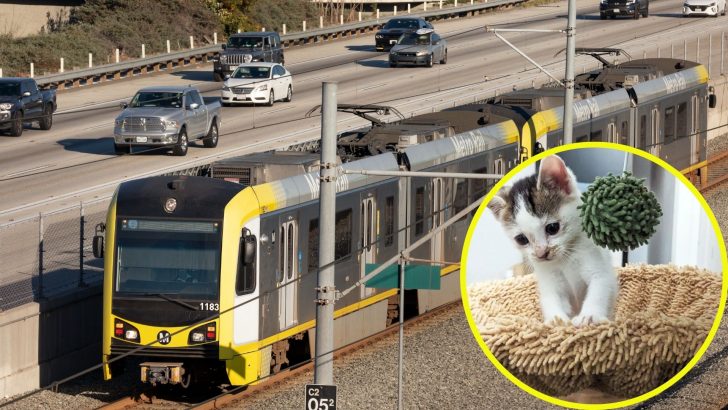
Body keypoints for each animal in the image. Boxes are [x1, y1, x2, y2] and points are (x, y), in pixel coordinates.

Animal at [486, 155, 616, 326]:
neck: (565, 258)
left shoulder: (599, 267)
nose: (541, 253)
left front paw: (589, 316)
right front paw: (556, 320)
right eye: (521, 239)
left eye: (552, 228)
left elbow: (599, 288)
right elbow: (551, 298)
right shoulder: (549, 279)